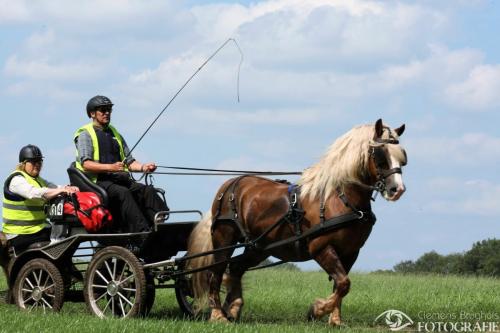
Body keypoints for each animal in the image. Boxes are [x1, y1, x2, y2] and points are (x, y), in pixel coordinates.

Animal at [186, 118, 408, 324]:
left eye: (402, 157)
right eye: (380, 154)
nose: (397, 190)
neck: (339, 198)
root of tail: (230, 184)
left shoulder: (351, 252)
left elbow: (340, 285)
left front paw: (335, 319)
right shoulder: (321, 247)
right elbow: (344, 283)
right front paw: (317, 310)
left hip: (258, 247)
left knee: (235, 269)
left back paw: (233, 308)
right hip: (225, 238)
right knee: (215, 273)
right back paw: (218, 314)